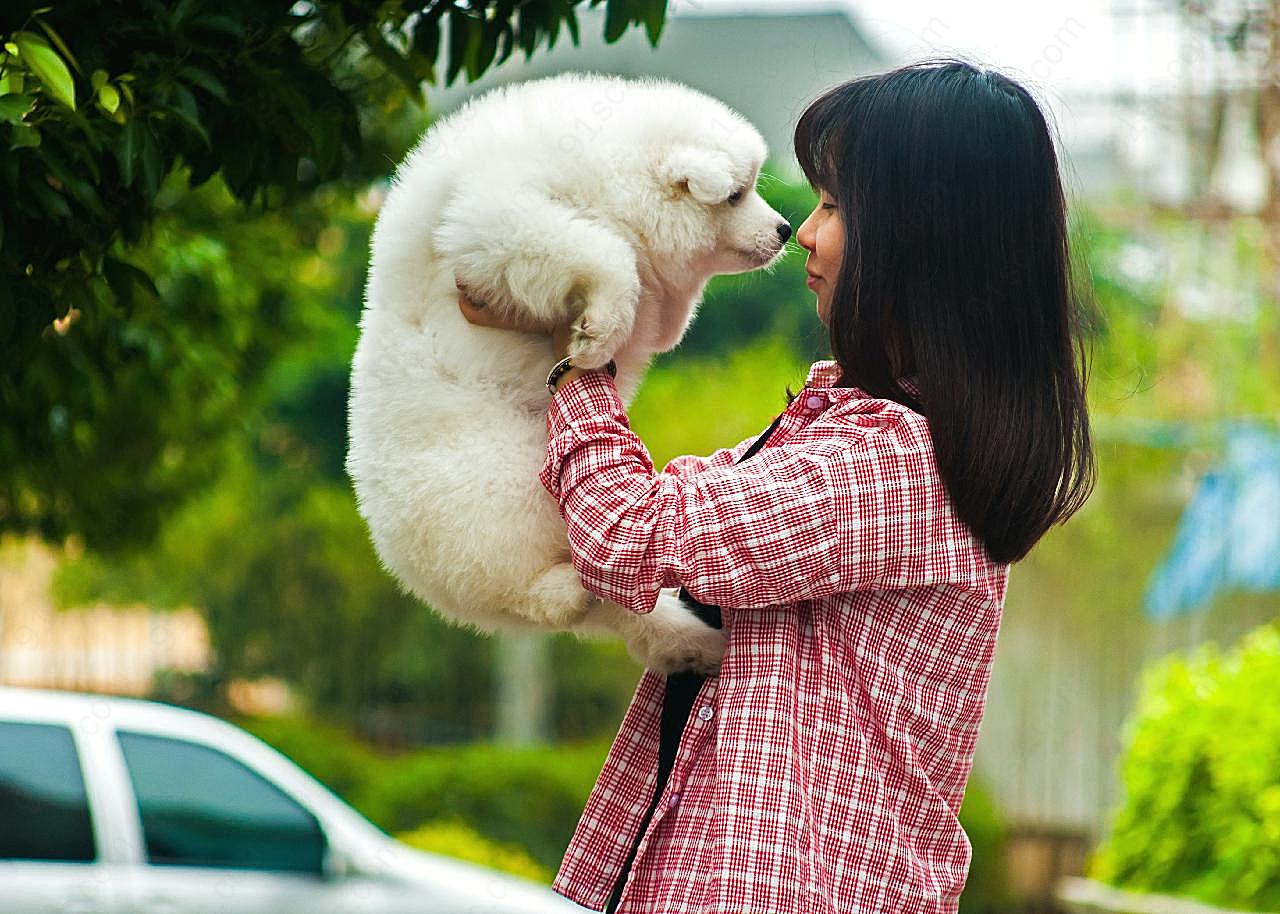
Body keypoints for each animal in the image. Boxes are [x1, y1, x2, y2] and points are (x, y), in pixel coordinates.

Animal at [348, 74, 788, 670]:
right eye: (737, 194)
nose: (786, 229)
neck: (609, 173)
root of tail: (404, 560)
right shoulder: (499, 215)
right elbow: (605, 252)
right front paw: (599, 332)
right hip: (498, 487)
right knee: (525, 588)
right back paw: (570, 594)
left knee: (625, 609)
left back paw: (697, 645)